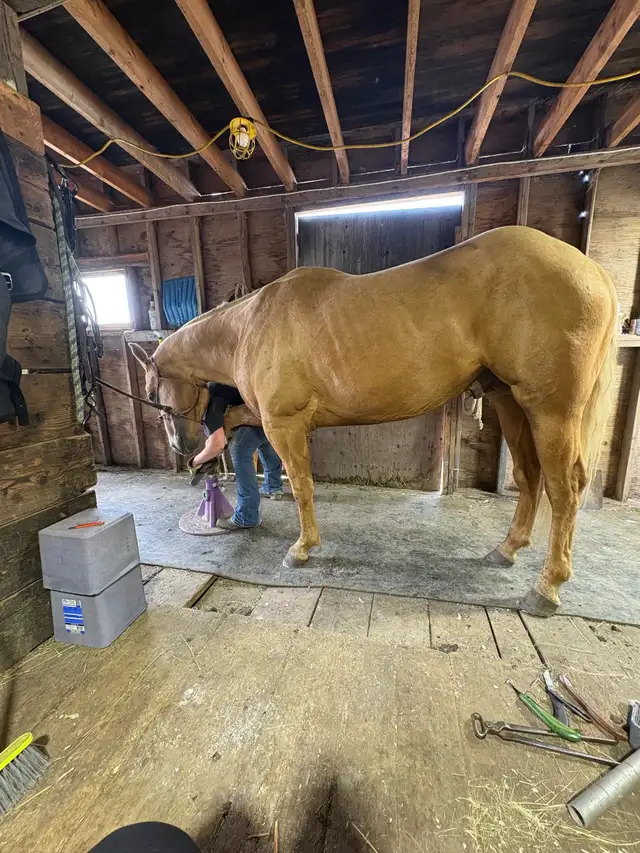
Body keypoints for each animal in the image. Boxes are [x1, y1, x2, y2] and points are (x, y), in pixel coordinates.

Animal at [129, 225, 618, 618]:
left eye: (152, 394)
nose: (181, 448)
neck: (250, 325)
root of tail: (593, 272)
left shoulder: (284, 423)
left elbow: (302, 486)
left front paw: (302, 549)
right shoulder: (265, 414)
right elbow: (234, 419)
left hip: (551, 410)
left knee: (564, 490)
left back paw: (546, 589)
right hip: (510, 401)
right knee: (529, 476)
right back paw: (507, 549)